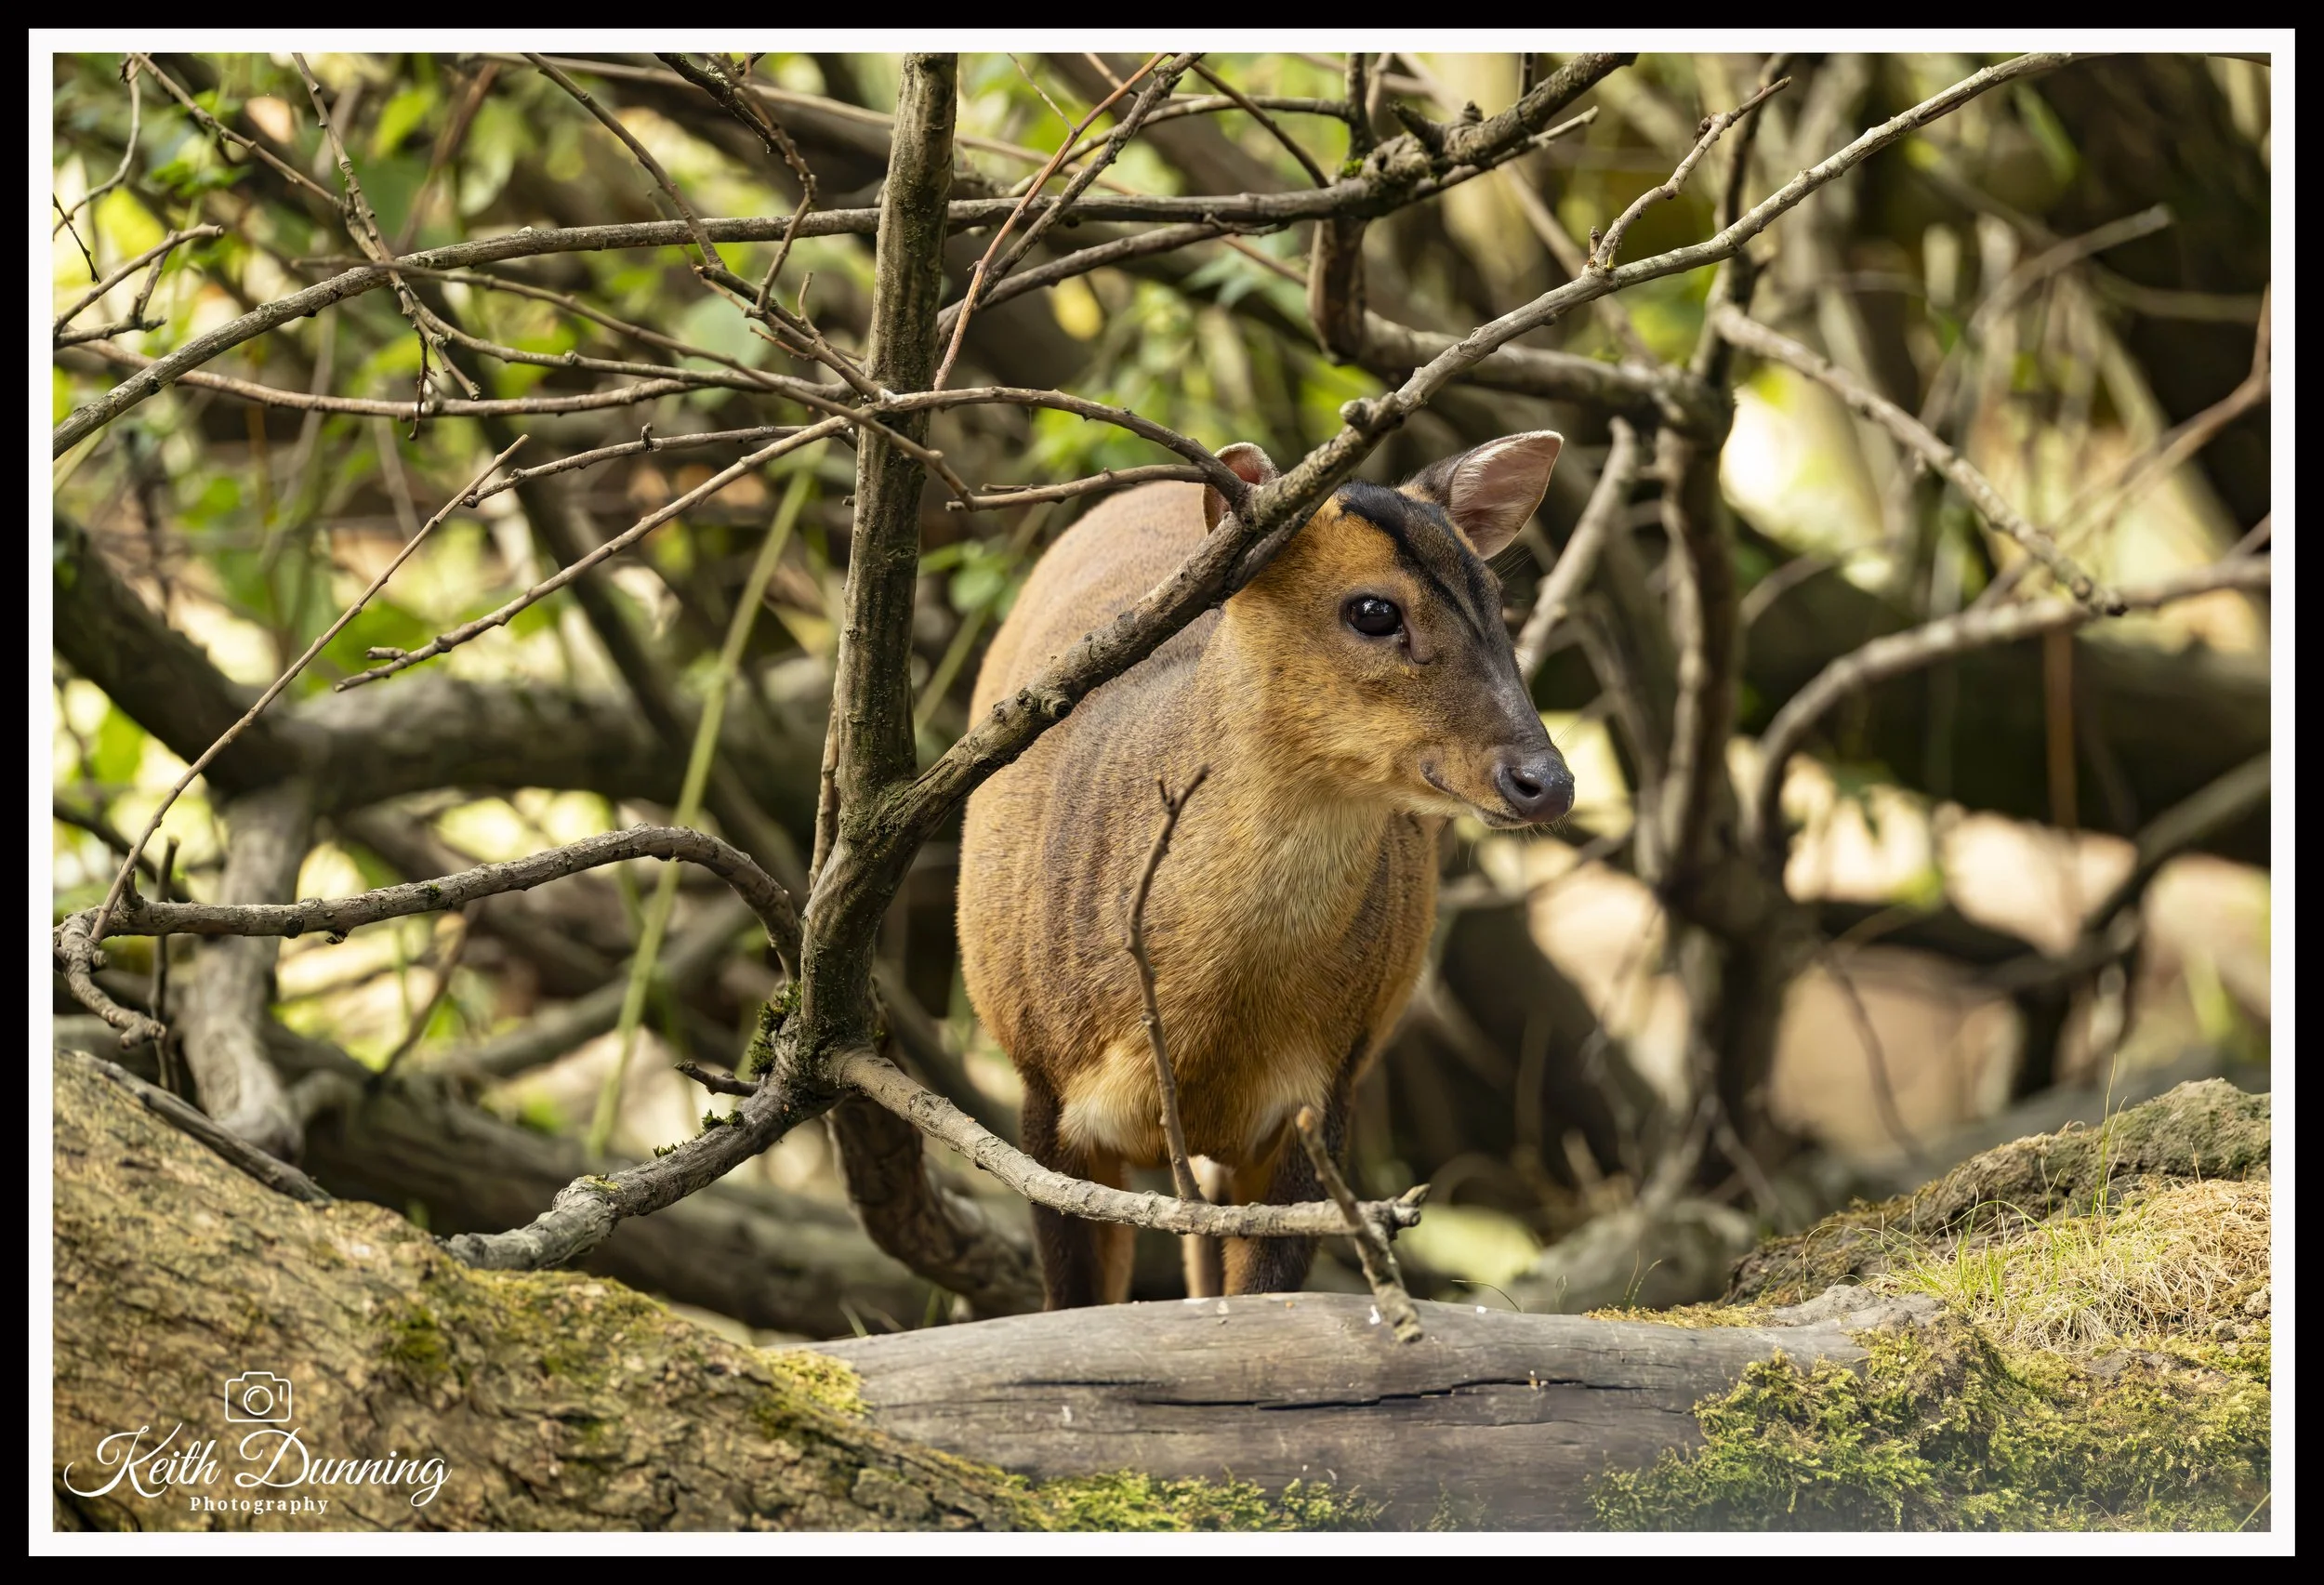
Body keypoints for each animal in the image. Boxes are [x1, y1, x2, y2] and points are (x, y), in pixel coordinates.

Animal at [957, 432, 1574, 1309]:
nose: (1545, 780)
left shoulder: (1322, 1096)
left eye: (1494, 595)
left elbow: (1266, 1295)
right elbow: (1075, 1299)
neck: (1208, 1031)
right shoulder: (1043, 1088)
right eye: (1374, 610)